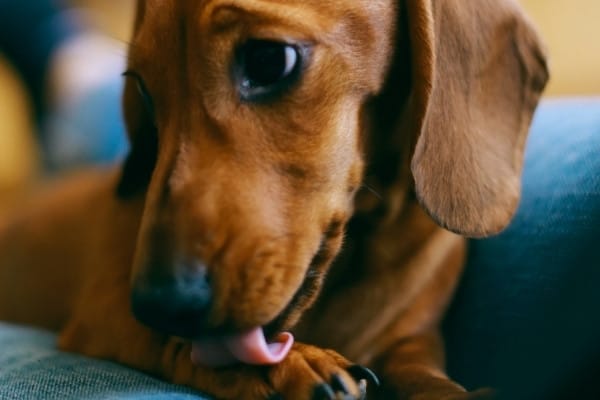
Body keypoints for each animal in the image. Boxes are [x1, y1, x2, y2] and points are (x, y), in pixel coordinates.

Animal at [0, 0, 548, 398]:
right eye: (144, 92)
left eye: (269, 60)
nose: (159, 304)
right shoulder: (102, 312)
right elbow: (176, 344)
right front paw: (289, 368)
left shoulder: (415, 338)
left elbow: (428, 376)